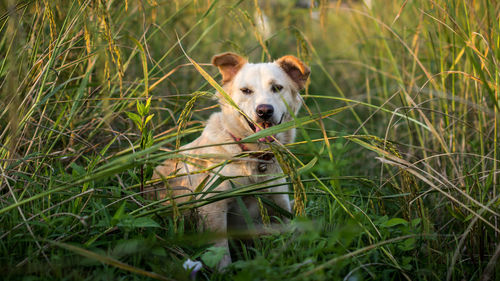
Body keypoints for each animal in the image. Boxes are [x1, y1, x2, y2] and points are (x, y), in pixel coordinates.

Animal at [150, 51, 310, 268]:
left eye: (277, 88)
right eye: (246, 90)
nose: (264, 111)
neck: (254, 158)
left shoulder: (280, 206)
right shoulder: (213, 207)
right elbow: (221, 250)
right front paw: (224, 270)